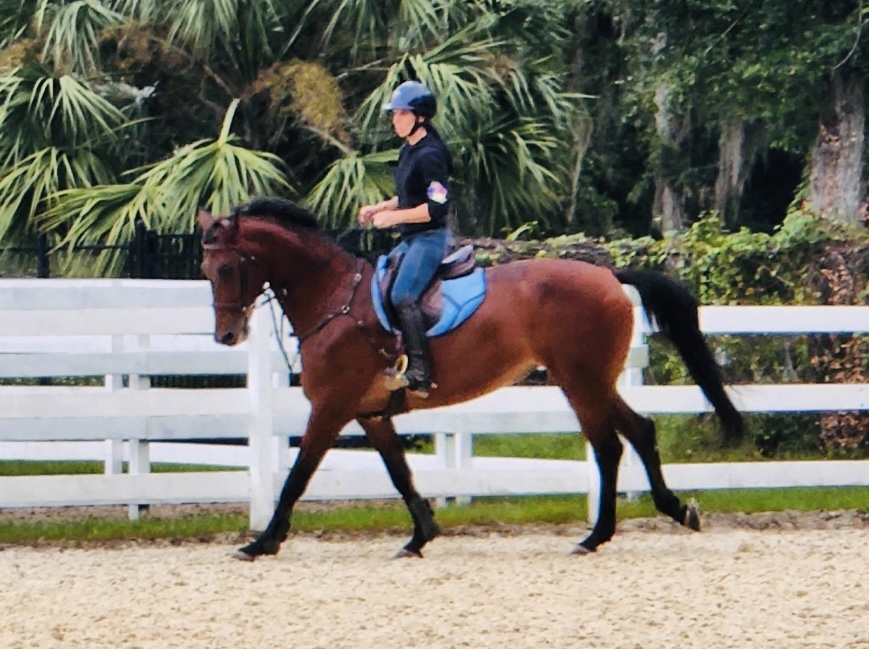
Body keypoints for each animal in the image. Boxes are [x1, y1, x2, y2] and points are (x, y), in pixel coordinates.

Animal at [197, 197, 743, 561]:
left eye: (225, 268)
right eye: (205, 268)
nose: (227, 335)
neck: (336, 296)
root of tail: (609, 275)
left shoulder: (331, 407)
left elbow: (297, 476)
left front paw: (262, 541)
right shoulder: (370, 412)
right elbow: (400, 473)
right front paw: (420, 535)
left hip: (581, 381)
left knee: (609, 446)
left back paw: (595, 536)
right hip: (593, 381)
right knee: (639, 432)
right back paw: (673, 511)